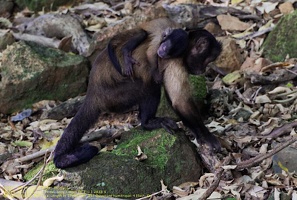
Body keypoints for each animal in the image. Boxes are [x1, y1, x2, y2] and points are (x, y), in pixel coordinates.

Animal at [53, 18, 221, 170]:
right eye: (207, 61)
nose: (203, 70)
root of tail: (93, 92)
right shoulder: (175, 61)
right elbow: (180, 101)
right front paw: (207, 138)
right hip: (114, 97)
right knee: (150, 86)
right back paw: (147, 123)